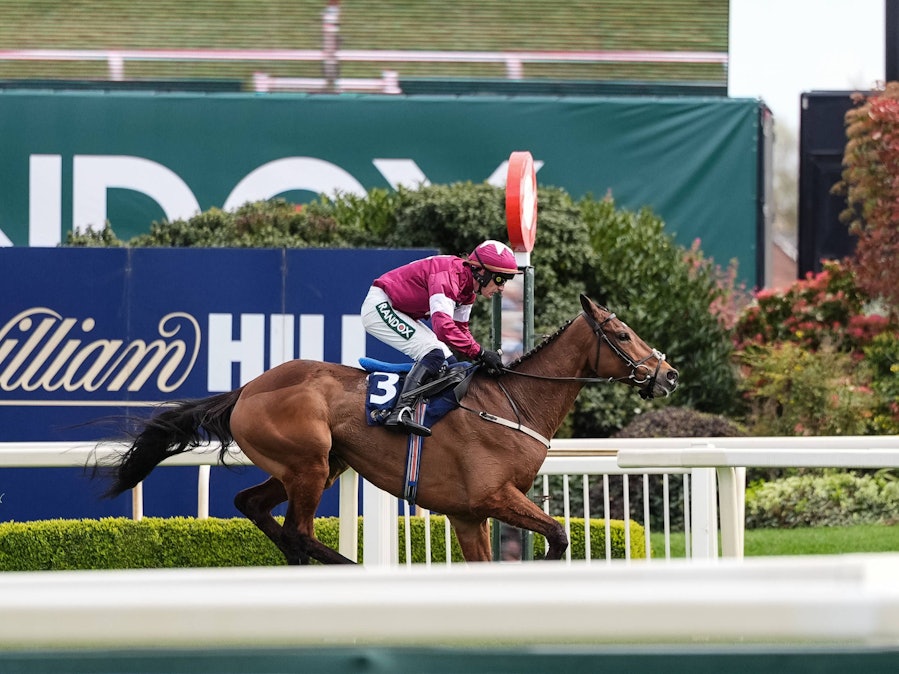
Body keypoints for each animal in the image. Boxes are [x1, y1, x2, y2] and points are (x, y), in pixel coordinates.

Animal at [100, 294, 678, 564]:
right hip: (310, 462)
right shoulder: (492, 496)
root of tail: (246, 390)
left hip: (319, 463)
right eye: (622, 333)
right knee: (298, 530)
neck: (513, 403)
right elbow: (558, 534)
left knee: (255, 507)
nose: (668, 374)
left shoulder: (469, 514)